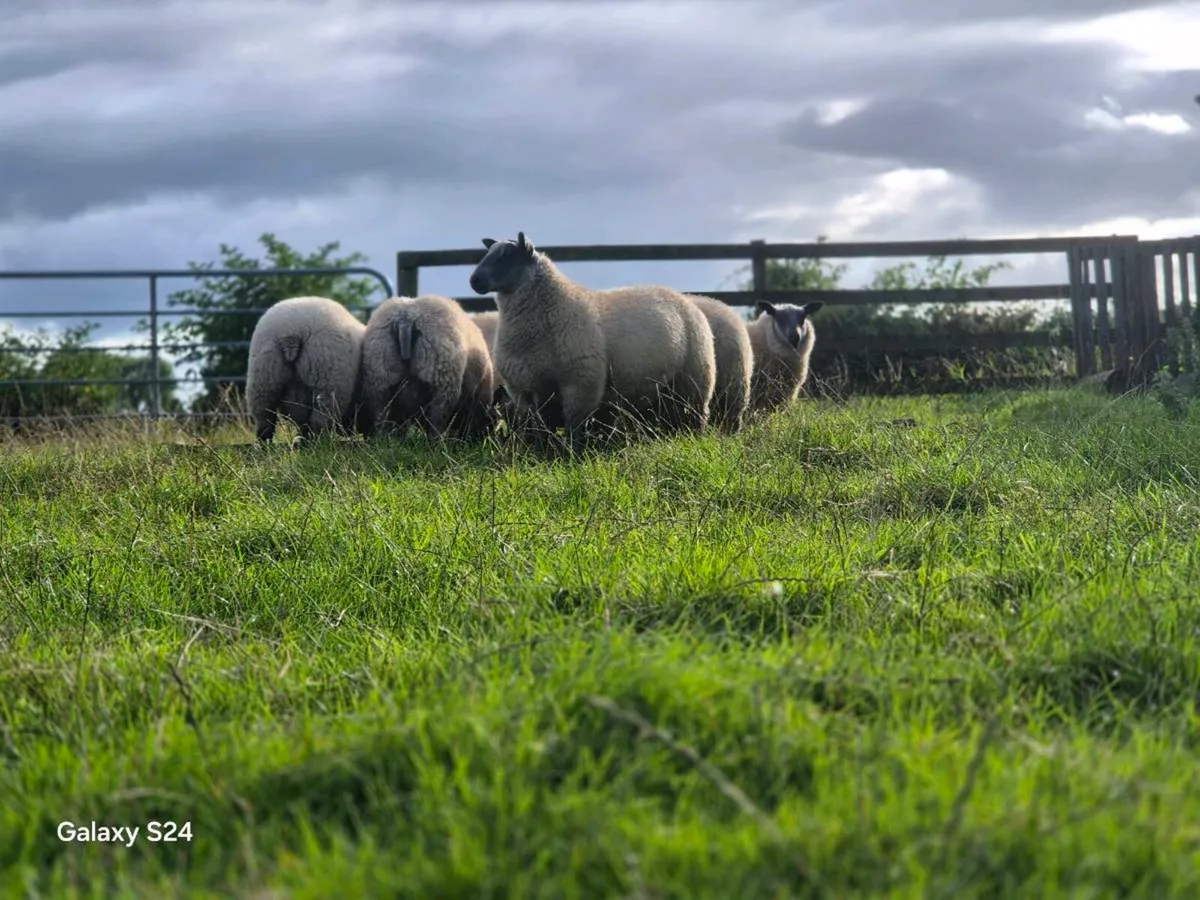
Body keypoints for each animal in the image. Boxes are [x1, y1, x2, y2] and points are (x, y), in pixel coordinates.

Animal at [244, 295, 366, 444]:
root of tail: (291, 330)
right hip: (327, 382)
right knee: (319, 420)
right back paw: (317, 442)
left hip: (264, 376)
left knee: (264, 417)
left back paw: (266, 443)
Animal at [359, 294, 495, 440]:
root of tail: (406, 318)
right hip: (442, 380)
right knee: (437, 417)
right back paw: (438, 441)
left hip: (380, 376)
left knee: (383, 416)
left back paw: (387, 438)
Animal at [468, 231, 716, 454]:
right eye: (488, 253)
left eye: (506, 256)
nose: (474, 280)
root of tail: (682, 297)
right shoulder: (526, 389)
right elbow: (540, 428)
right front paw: (540, 454)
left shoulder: (580, 384)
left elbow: (574, 427)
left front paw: (572, 455)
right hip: (657, 390)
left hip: (695, 381)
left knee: (695, 416)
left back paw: (695, 441)